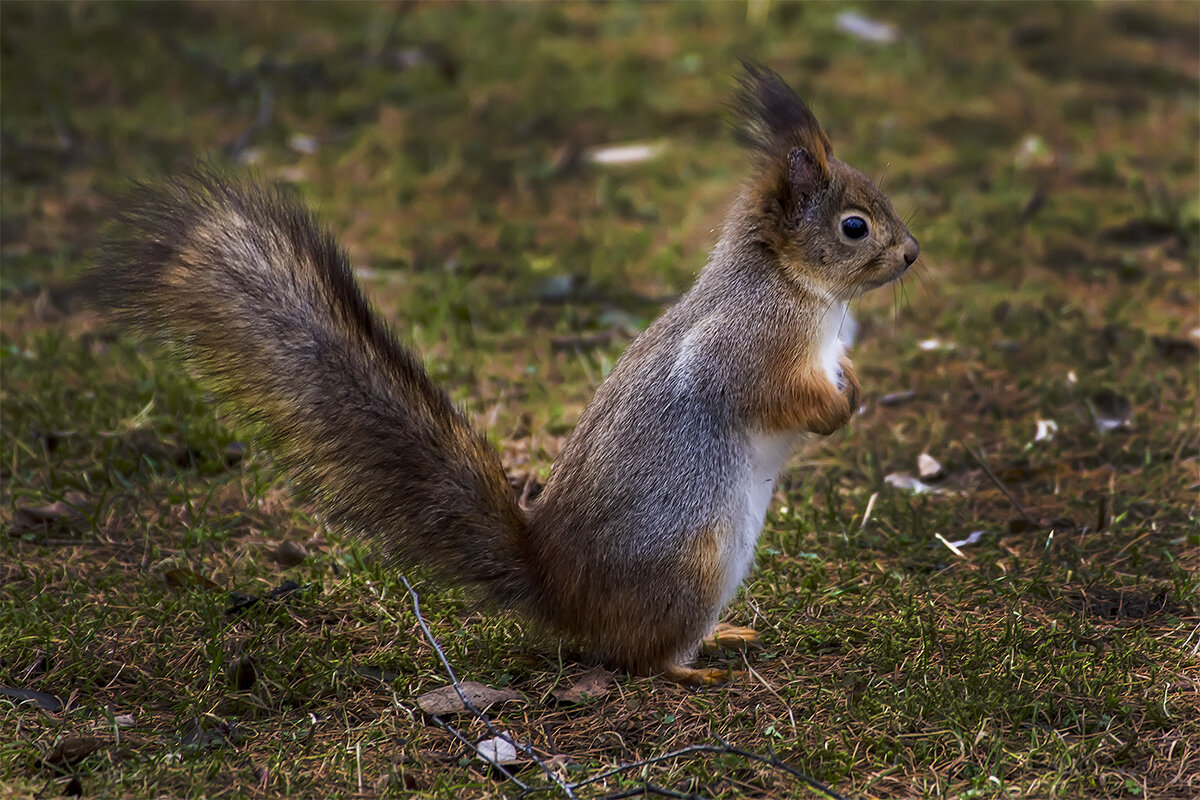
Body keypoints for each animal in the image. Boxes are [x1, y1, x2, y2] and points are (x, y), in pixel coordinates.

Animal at [93, 65, 916, 686]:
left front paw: (854, 388)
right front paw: (835, 410)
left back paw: (727, 638)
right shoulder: (750, 344)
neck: (792, 284)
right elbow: (774, 394)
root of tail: (561, 590)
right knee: (639, 657)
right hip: (694, 564)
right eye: (853, 226)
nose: (912, 254)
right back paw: (693, 668)